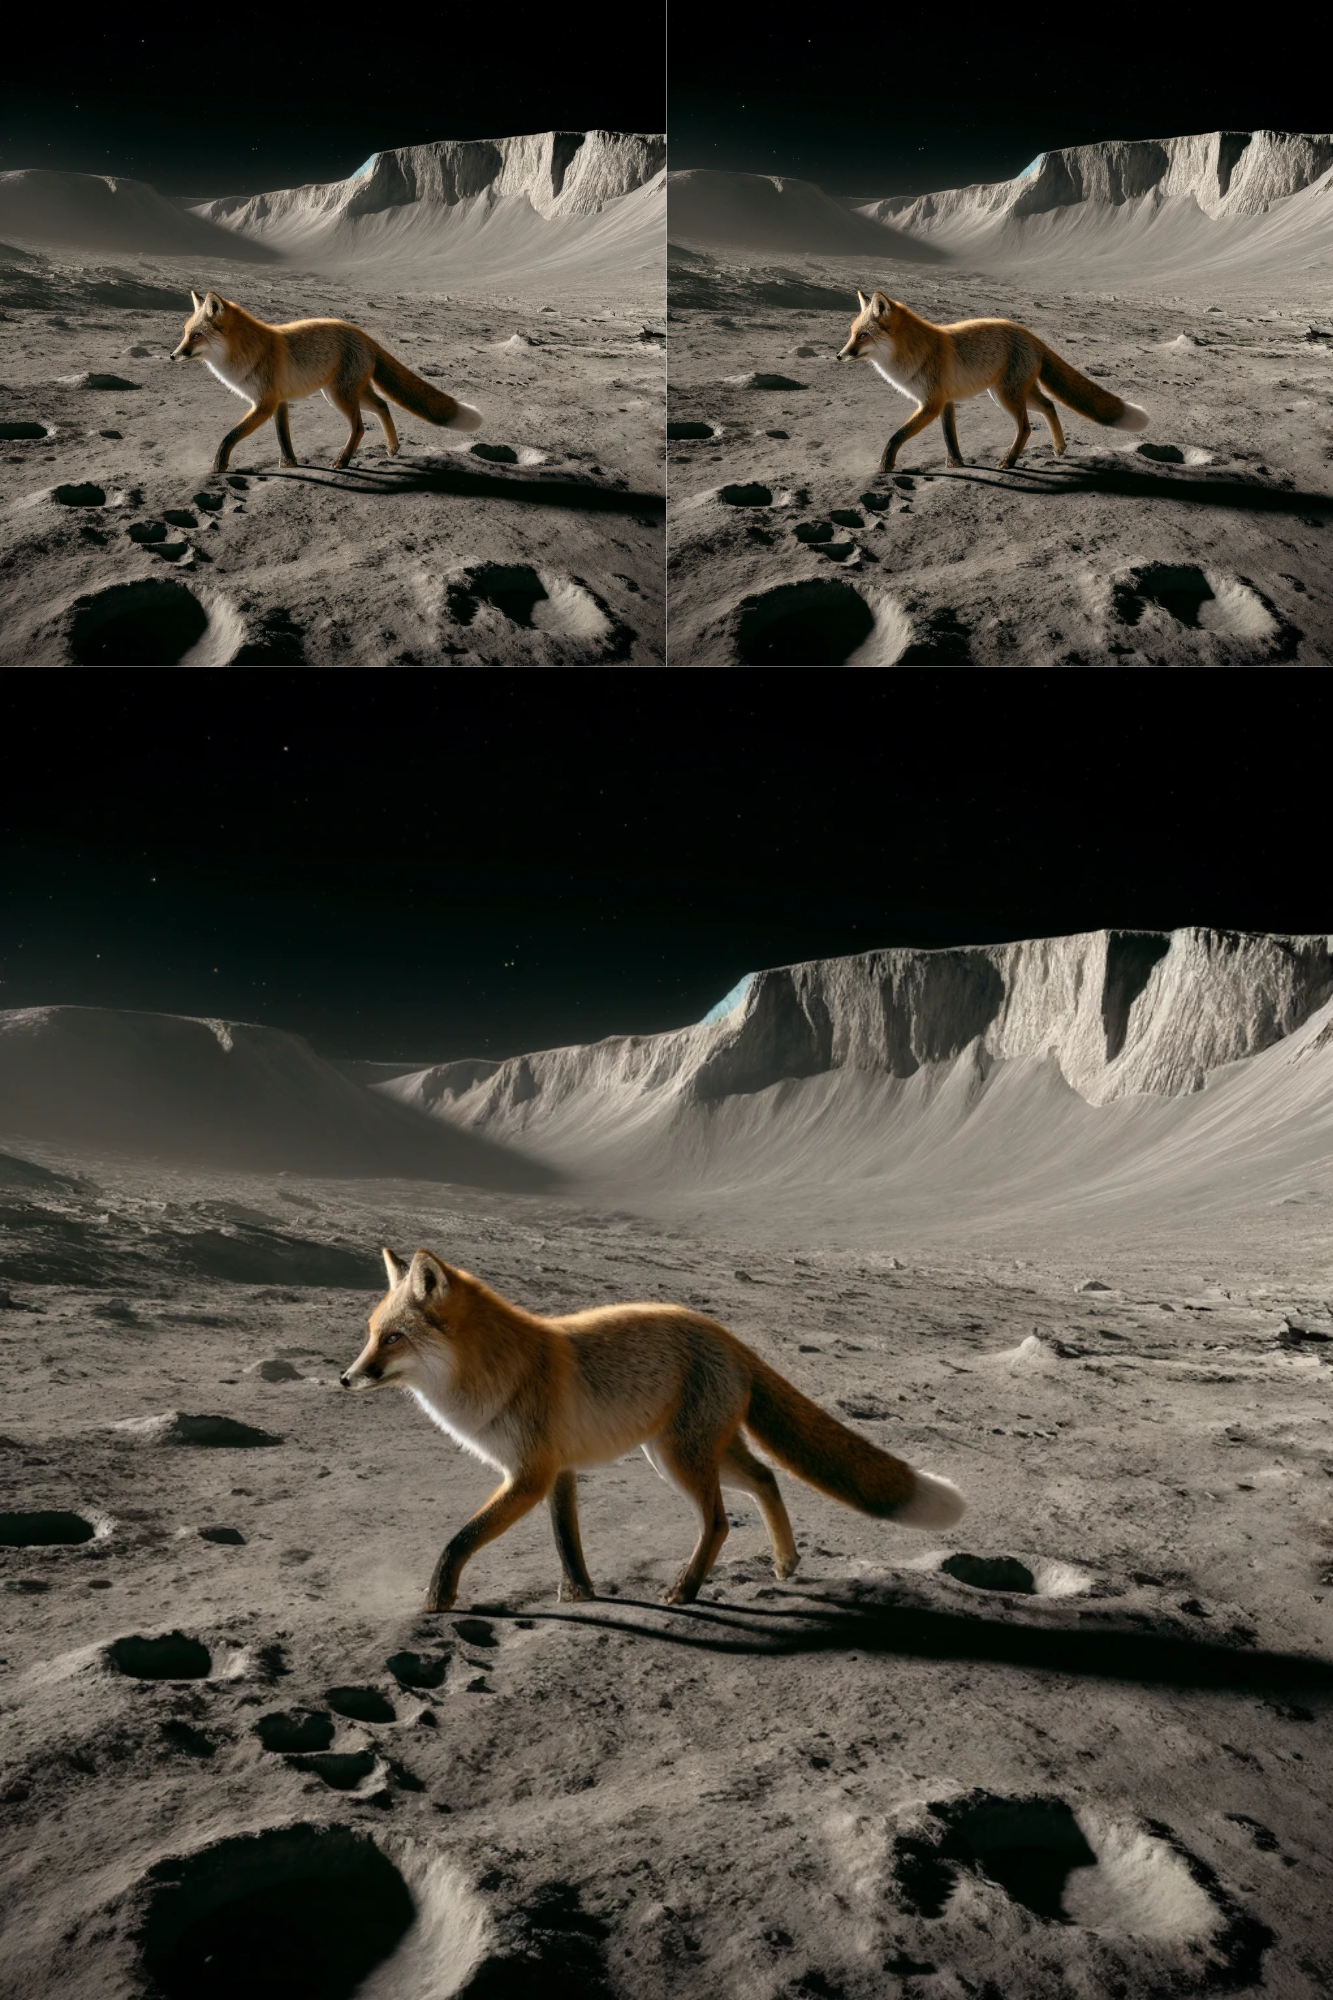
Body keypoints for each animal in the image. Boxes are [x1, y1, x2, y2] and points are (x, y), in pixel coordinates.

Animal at [169, 289, 483, 473]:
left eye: (196, 336)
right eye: (184, 333)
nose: (173, 355)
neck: (249, 353)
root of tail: (363, 334)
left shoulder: (264, 404)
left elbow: (230, 435)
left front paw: (218, 465)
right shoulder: (279, 402)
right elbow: (283, 437)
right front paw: (290, 463)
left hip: (338, 395)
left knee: (359, 427)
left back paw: (343, 461)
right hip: (350, 393)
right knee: (383, 406)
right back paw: (392, 448)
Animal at [340, 1248, 965, 1613]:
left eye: (393, 1339)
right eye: (370, 1334)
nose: (346, 1378)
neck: (498, 1372)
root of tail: (724, 1334)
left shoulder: (530, 1474)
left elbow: (461, 1538)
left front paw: (437, 1597)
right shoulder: (558, 1470)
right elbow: (566, 1541)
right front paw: (580, 1594)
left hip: (676, 1458)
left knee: (719, 1521)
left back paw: (686, 1590)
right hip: (698, 1452)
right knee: (767, 1479)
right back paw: (785, 1563)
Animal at [837, 291, 1149, 473]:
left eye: (863, 336)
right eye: (851, 334)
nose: (839, 355)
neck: (915, 352)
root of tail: (1028, 333)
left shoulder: (931, 403)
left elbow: (897, 436)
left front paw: (884, 465)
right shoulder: (945, 402)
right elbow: (949, 437)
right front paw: (956, 463)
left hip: (1005, 395)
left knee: (1026, 427)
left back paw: (1009, 461)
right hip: (1016, 393)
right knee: (1050, 406)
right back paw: (1059, 448)